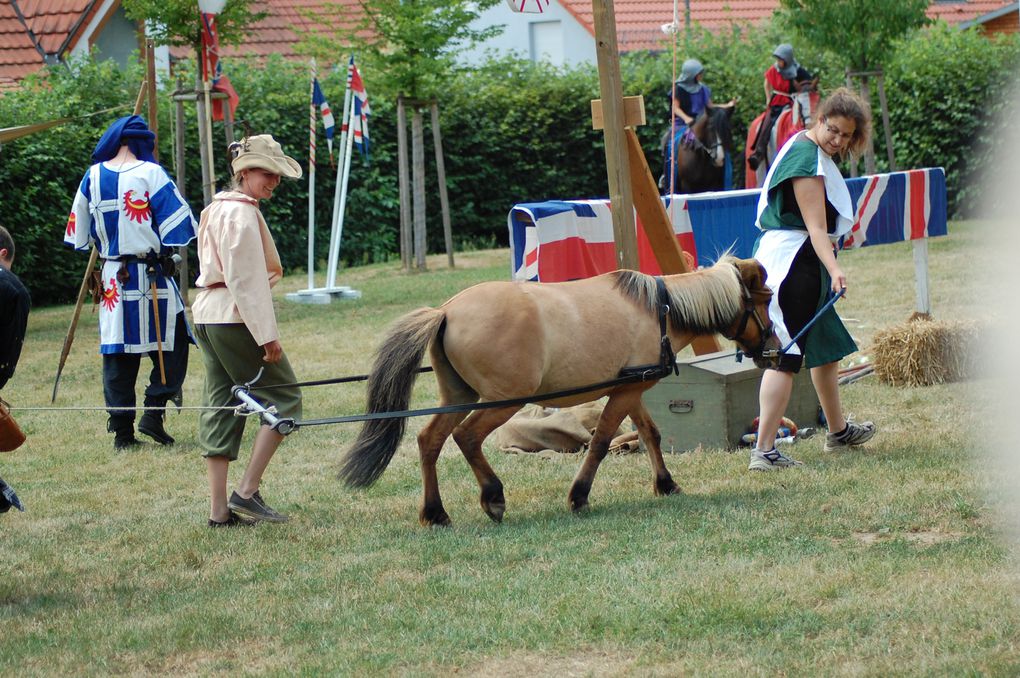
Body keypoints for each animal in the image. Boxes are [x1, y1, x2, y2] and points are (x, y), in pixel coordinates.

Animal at [338, 256, 775, 526]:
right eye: (764, 301)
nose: (772, 344)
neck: (659, 310)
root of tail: (446, 310)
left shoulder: (631, 390)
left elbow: (650, 433)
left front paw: (666, 484)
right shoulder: (624, 393)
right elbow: (600, 442)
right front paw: (579, 496)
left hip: (459, 396)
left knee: (430, 440)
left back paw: (435, 512)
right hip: (502, 401)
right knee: (467, 437)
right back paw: (492, 496)